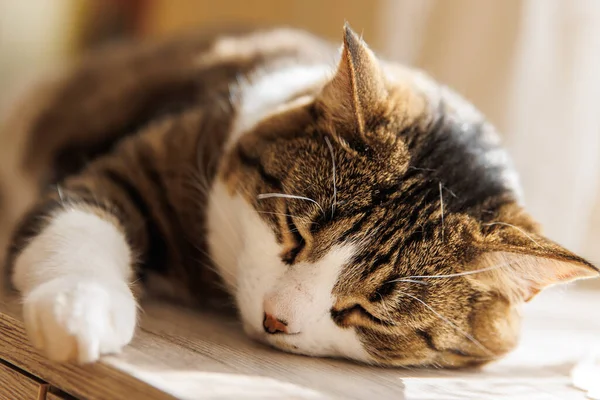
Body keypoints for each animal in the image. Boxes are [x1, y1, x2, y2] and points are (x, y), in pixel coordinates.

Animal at [0, 25, 596, 368]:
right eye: (293, 230)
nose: (275, 320)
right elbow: (82, 221)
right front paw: (80, 309)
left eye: (368, 313)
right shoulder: (136, 167)